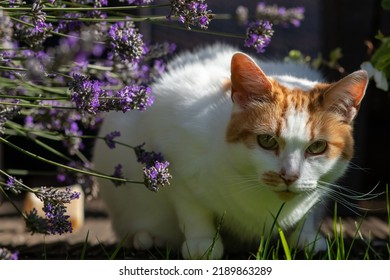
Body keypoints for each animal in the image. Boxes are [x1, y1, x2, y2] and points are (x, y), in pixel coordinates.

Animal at [92, 44, 368, 260]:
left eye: (317, 147)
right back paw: (145, 237)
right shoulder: (174, 154)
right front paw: (202, 244)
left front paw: (306, 236)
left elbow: (308, 211)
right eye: (266, 141)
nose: (289, 176)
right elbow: (193, 209)